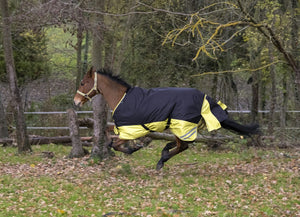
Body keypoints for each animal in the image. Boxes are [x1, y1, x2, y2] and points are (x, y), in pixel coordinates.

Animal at [74, 67, 258, 170]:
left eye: (83, 83)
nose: (75, 102)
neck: (121, 97)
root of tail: (204, 98)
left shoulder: (131, 129)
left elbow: (116, 144)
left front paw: (133, 148)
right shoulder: (124, 126)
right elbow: (107, 131)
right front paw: (131, 146)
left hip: (180, 125)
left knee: (184, 145)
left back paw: (162, 159)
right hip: (179, 126)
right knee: (182, 145)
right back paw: (164, 153)